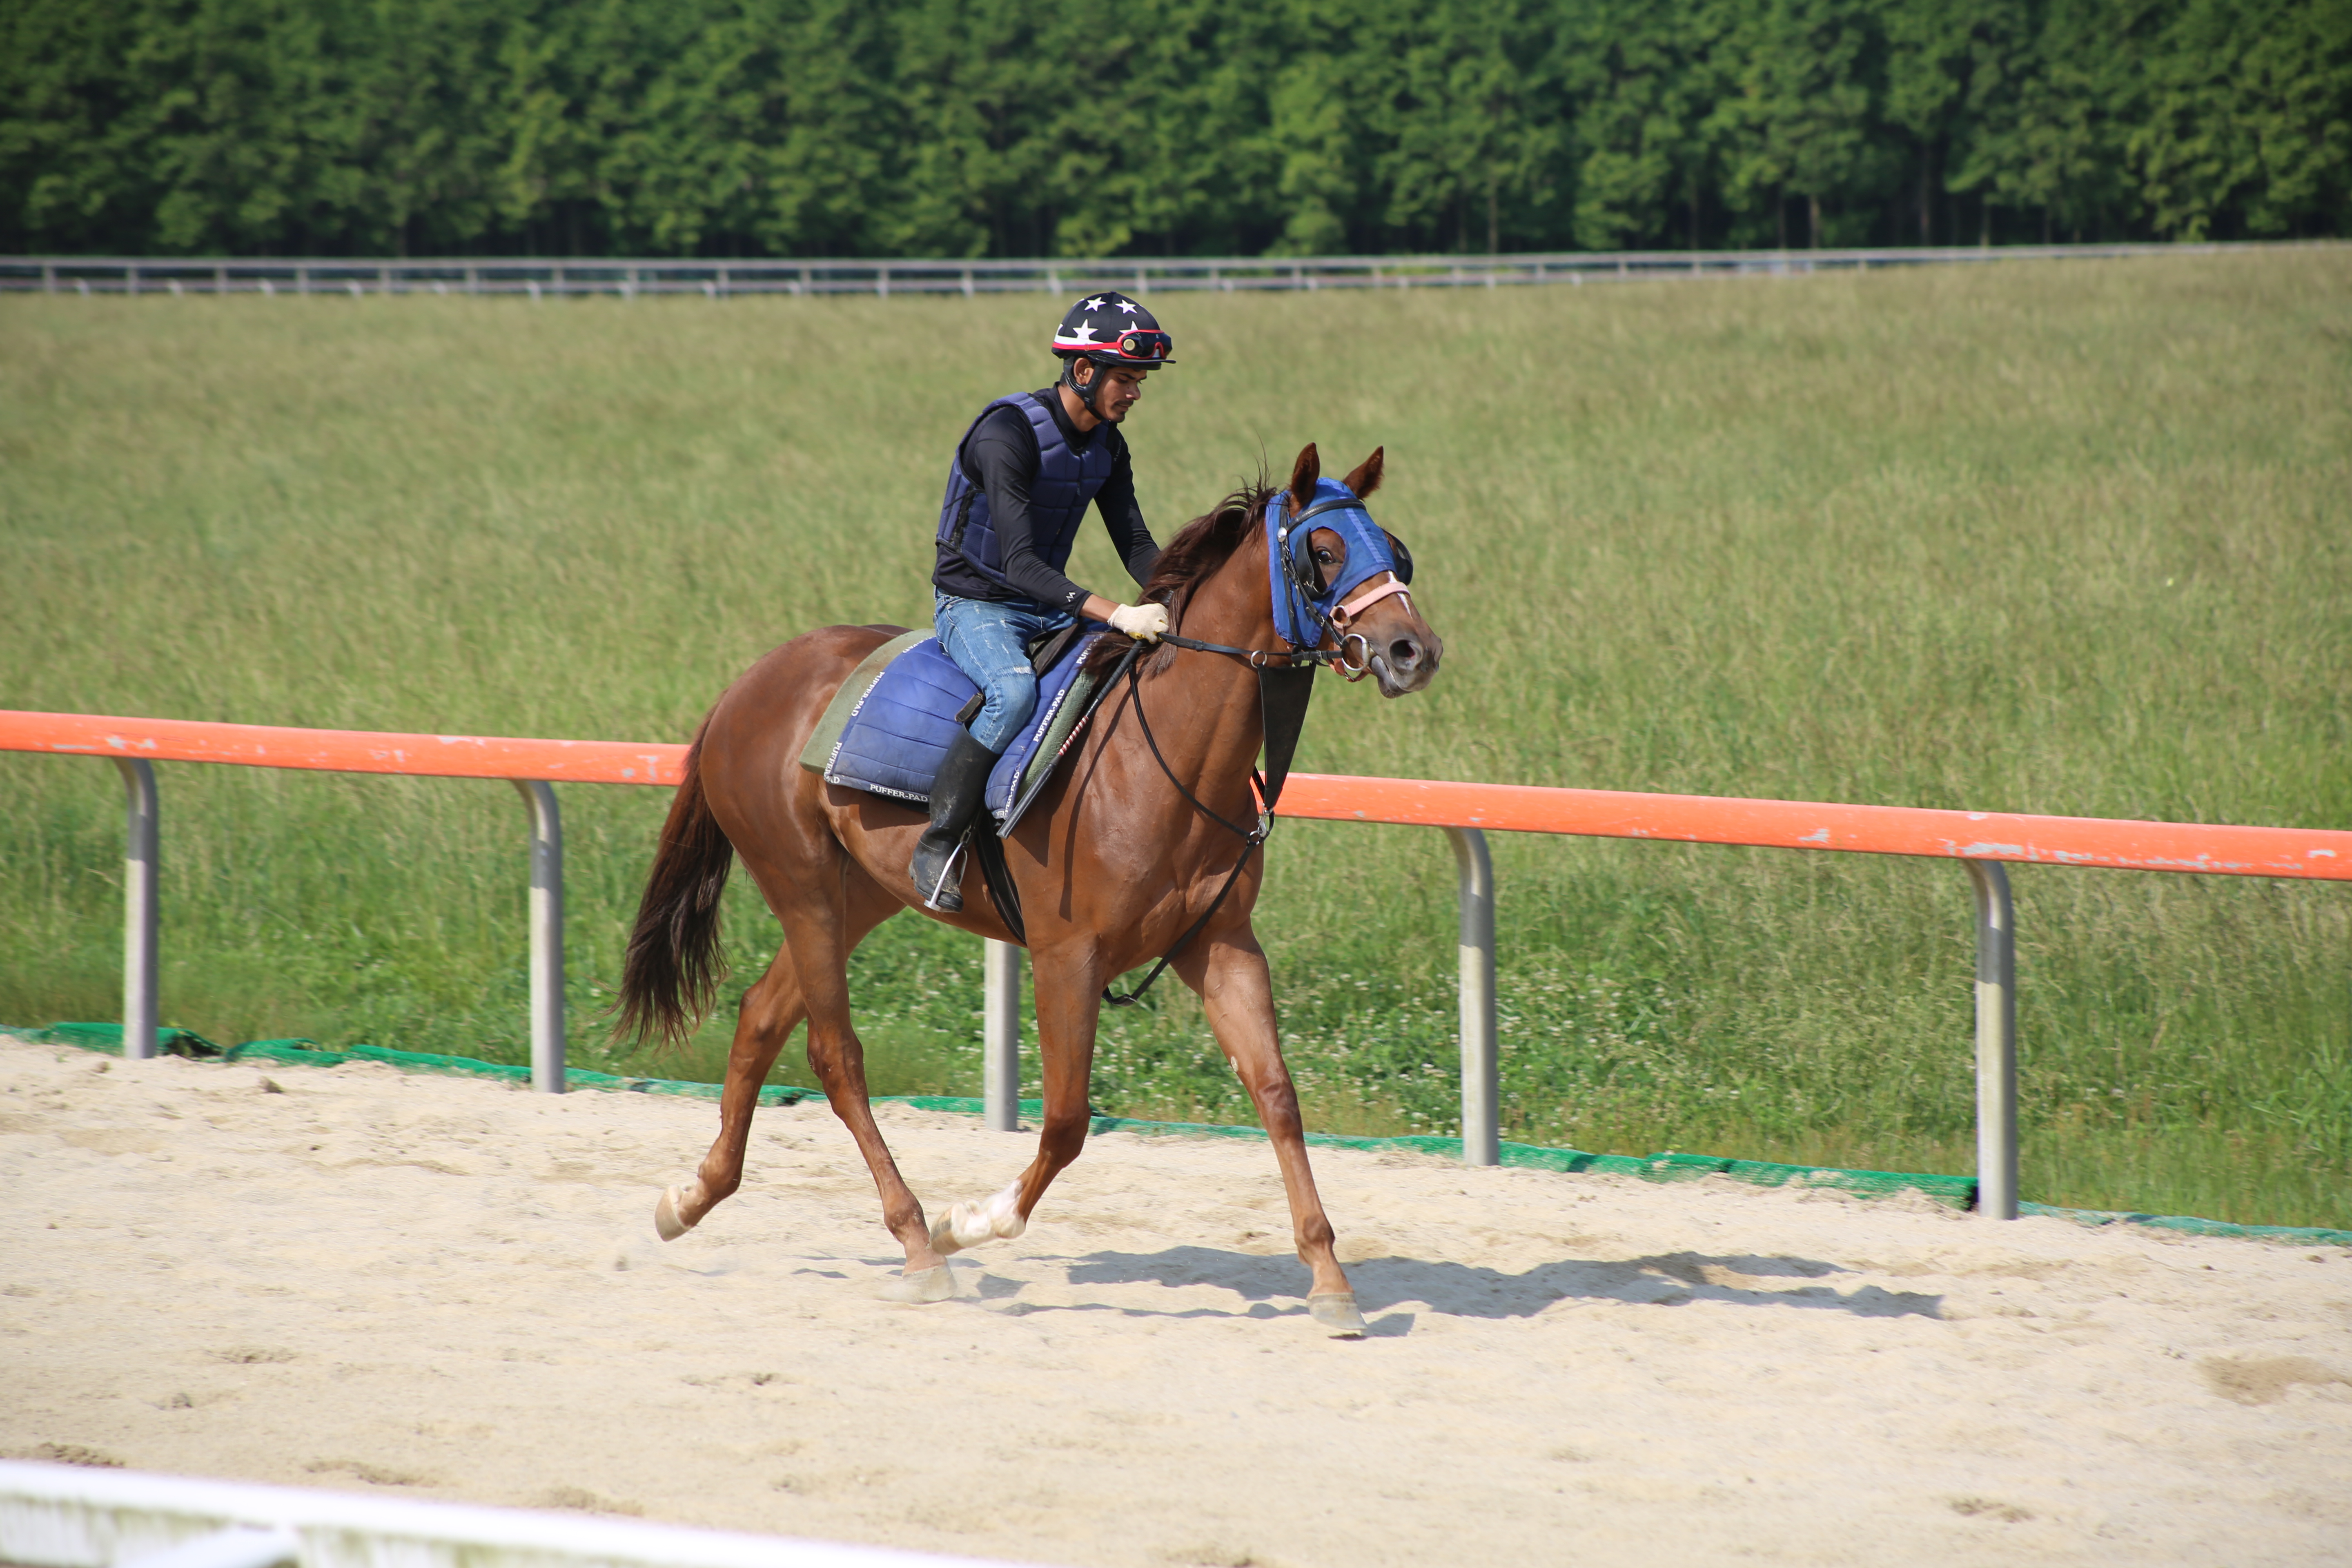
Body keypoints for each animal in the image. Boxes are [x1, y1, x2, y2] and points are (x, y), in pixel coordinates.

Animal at [616, 442, 1439, 1335]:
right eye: (1322, 552)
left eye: (1397, 552)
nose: (1413, 650)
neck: (1166, 760)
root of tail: (749, 684)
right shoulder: (1065, 956)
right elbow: (1069, 1121)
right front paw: (970, 1220)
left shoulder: (1220, 945)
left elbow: (1279, 1097)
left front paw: (1329, 1279)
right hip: (801, 887)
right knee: (836, 1056)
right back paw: (916, 1242)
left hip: (858, 894)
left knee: (762, 1016)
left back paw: (692, 1198)